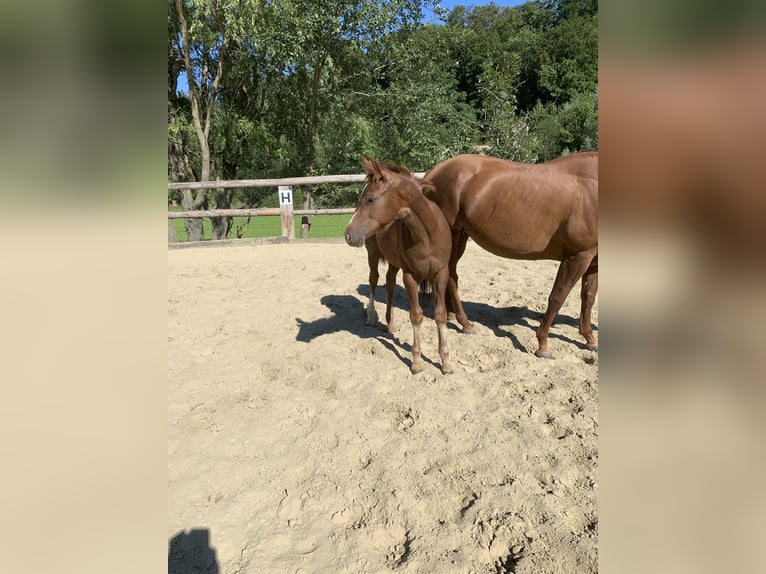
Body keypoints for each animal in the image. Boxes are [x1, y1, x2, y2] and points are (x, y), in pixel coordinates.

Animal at [344, 155, 472, 376]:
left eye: (370, 199)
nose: (348, 234)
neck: (427, 236)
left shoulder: (440, 274)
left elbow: (440, 315)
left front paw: (446, 362)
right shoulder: (410, 276)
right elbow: (417, 315)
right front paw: (417, 361)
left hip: (394, 262)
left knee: (389, 284)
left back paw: (390, 323)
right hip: (373, 254)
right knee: (373, 280)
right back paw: (371, 317)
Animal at [426, 153, 600, 360]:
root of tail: (435, 171)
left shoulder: (593, 261)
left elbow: (588, 297)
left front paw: (589, 338)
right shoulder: (577, 257)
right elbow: (558, 297)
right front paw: (543, 344)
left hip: (461, 235)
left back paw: (452, 315)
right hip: (451, 234)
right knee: (451, 276)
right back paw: (465, 323)